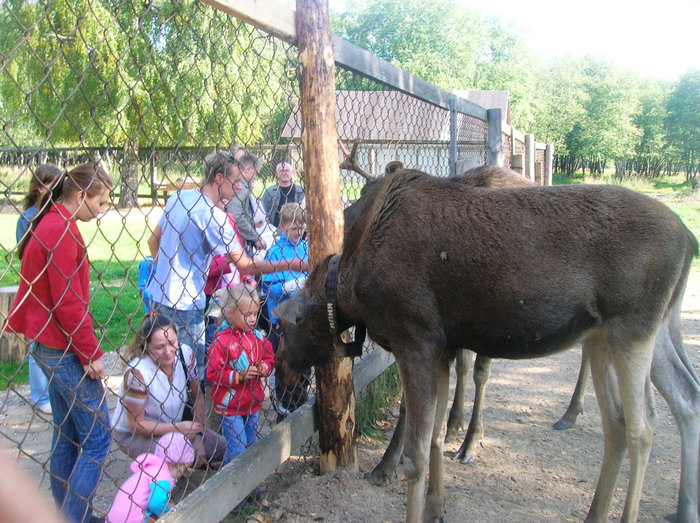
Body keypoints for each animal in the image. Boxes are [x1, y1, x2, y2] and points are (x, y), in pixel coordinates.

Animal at [276, 162, 696, 520]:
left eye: (283, 327)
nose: (281, 373)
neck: (348, 286)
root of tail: (690, 239)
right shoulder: (441, 348)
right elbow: (433, 440)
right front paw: (437, 508)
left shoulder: (415, 339)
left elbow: (416, 455)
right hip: (627, 334)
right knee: (658, 408)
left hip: (632, 330)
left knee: (643, 428)